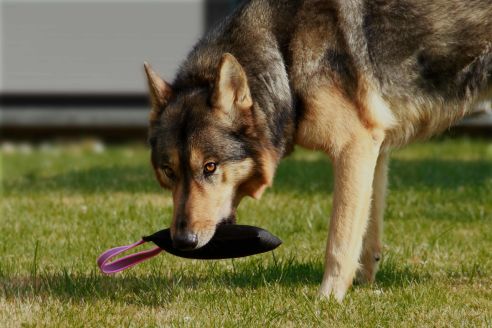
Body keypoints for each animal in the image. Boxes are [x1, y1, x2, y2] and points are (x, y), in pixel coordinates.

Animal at [143, 0, 492, 302]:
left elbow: (339, 240)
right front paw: (365, 289)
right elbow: (367, 236)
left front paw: (328, 299)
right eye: (169, 172)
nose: (182, 242)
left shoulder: (354, 147)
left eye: (210, 167)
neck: (282, 52)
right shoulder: (376, 148)